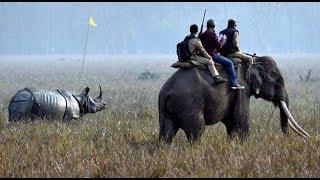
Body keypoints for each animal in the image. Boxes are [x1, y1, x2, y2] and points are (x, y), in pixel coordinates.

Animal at [158, 56, 310, 143]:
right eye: (278, 81)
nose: (285, 137)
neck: (252, 61)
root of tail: (165, 92)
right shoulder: (241, 87)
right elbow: (240, 117)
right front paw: (246, 146)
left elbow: (231, 122)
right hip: (189, 105)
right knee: (196, 131)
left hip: (168, 110)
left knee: (167, 132)